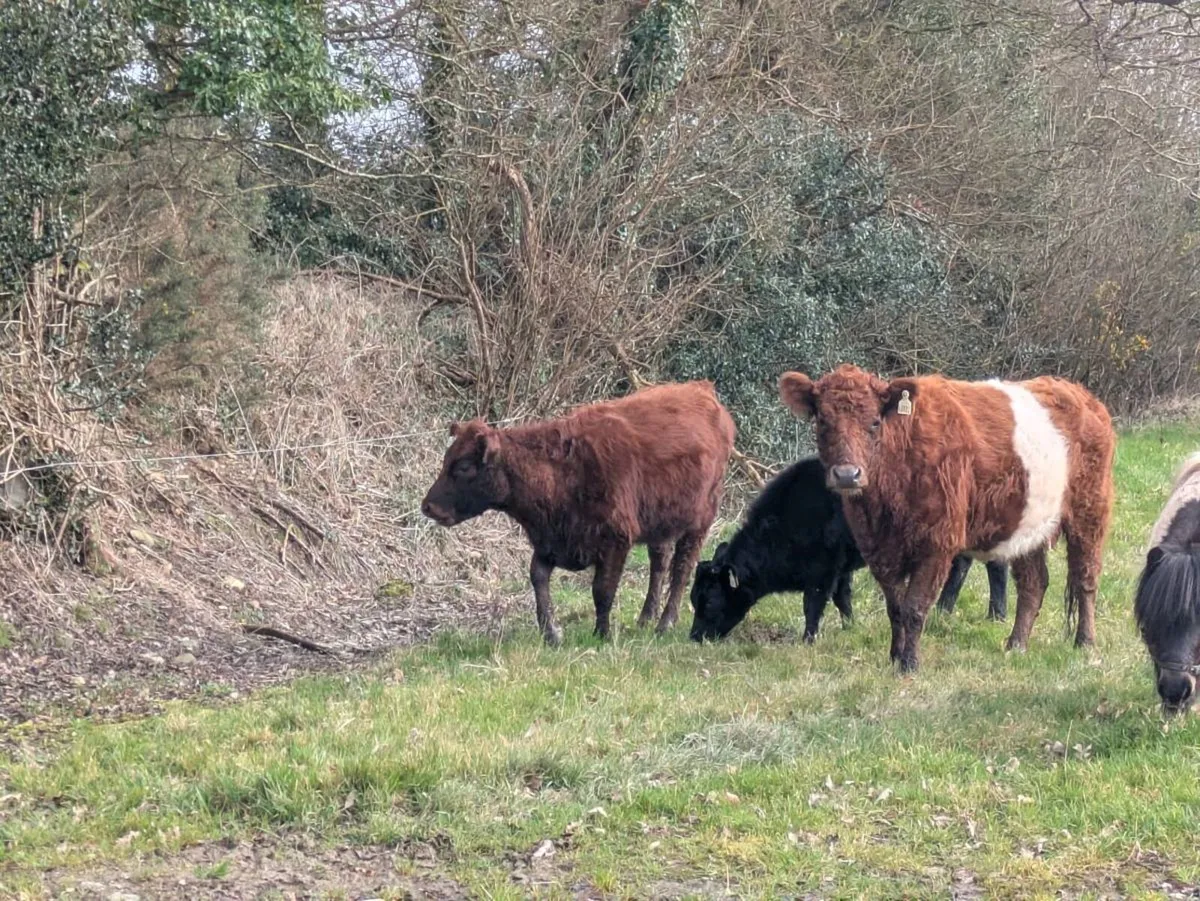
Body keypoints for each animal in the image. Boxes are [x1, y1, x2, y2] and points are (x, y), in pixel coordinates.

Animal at [421, 381, 736, 645]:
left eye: (463, 467)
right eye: (446, 460)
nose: (428, 506)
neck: (563, 471)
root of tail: (701, 389)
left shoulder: (614, 541)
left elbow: (602, 590)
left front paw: (602, 634)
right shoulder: (551, 542)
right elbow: (538, 578)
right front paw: (551, 632)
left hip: (699, 521)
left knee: (682, 568)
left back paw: (665, 623)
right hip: (660, 523)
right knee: (659, 562)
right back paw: (646, 618)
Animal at [688, 456, 1009, 643]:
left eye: (711, 601)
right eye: (693, 598)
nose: (694, 636)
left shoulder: (823, 571)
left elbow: (813, 604)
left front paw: (808, 639)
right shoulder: (841, 569)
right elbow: (844, 599)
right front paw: (850, 627)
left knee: (995, 565)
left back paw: (997, 614)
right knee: (962, 565)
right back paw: (944, 610)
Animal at [778, 364, 1115, 673]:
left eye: (874, 422)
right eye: (823, 421)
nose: (848, 475)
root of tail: (1082, 395)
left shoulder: (937, 543)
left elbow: (915, 607)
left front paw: (909, 665)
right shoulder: (879, 549)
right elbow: (895, 608)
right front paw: (894, 657)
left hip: (1089, 510)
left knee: (1086, 577)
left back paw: (1085, 642)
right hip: (1026, 523)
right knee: (1034, 583)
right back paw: (1016, 645)